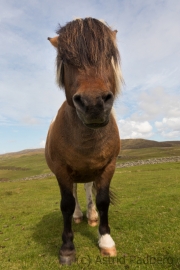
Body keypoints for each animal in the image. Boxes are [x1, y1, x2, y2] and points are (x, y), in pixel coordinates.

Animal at [45, 17, 123, 264]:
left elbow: (103, 200)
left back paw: (91, 216)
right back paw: (80, 215)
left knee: (88, 189)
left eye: (108, 55)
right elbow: (67, 204)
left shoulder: (108, 167)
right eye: (67, 60)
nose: (93, 104)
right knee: (75, 194)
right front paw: (67, 248)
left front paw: (106, 241)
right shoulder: (62, 170)